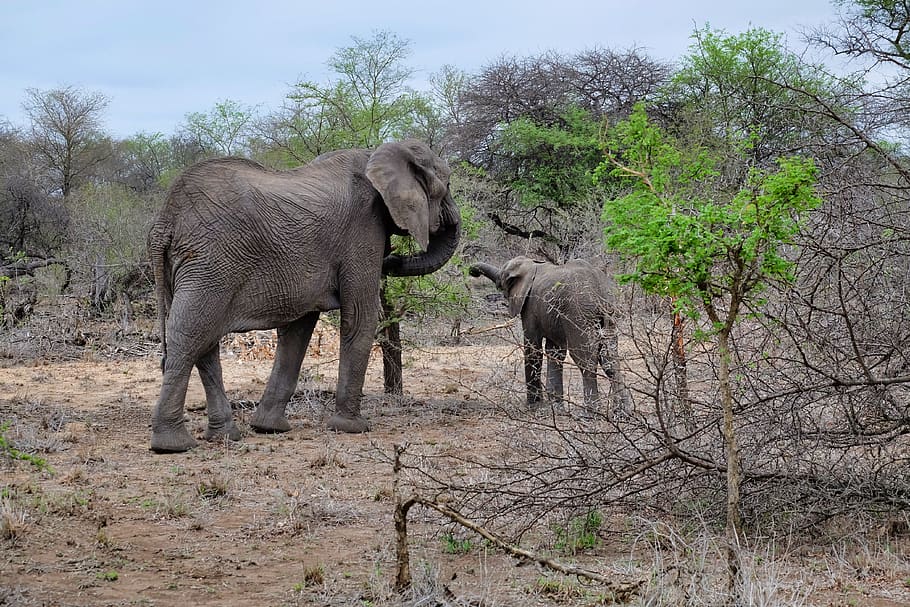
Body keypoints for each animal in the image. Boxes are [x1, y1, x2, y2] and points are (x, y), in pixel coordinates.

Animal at [147, 139, 461, 453]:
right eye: (446, 184)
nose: (393, 259)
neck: (377, 153)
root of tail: (164, 221)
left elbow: (298, 329)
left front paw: (269, 428)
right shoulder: (364, 228)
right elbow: (360, 317)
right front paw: (352, 428)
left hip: (190, 267)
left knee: (204, 344)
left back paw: (225, 436)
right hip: (210, 264)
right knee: (189, 337)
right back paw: (172, 445)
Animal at [469, 256, 630, 417]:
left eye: (501, 282)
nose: (472, 272)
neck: (531, 264)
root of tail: (600, 291)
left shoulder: (530, 306)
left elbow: (533, 349)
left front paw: (534, 406)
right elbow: (555, 353)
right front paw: (556, 408)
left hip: (579, 314)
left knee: (585, 359)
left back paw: (590, 414)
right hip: (610, 314)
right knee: (610, 359)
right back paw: (622, 413)